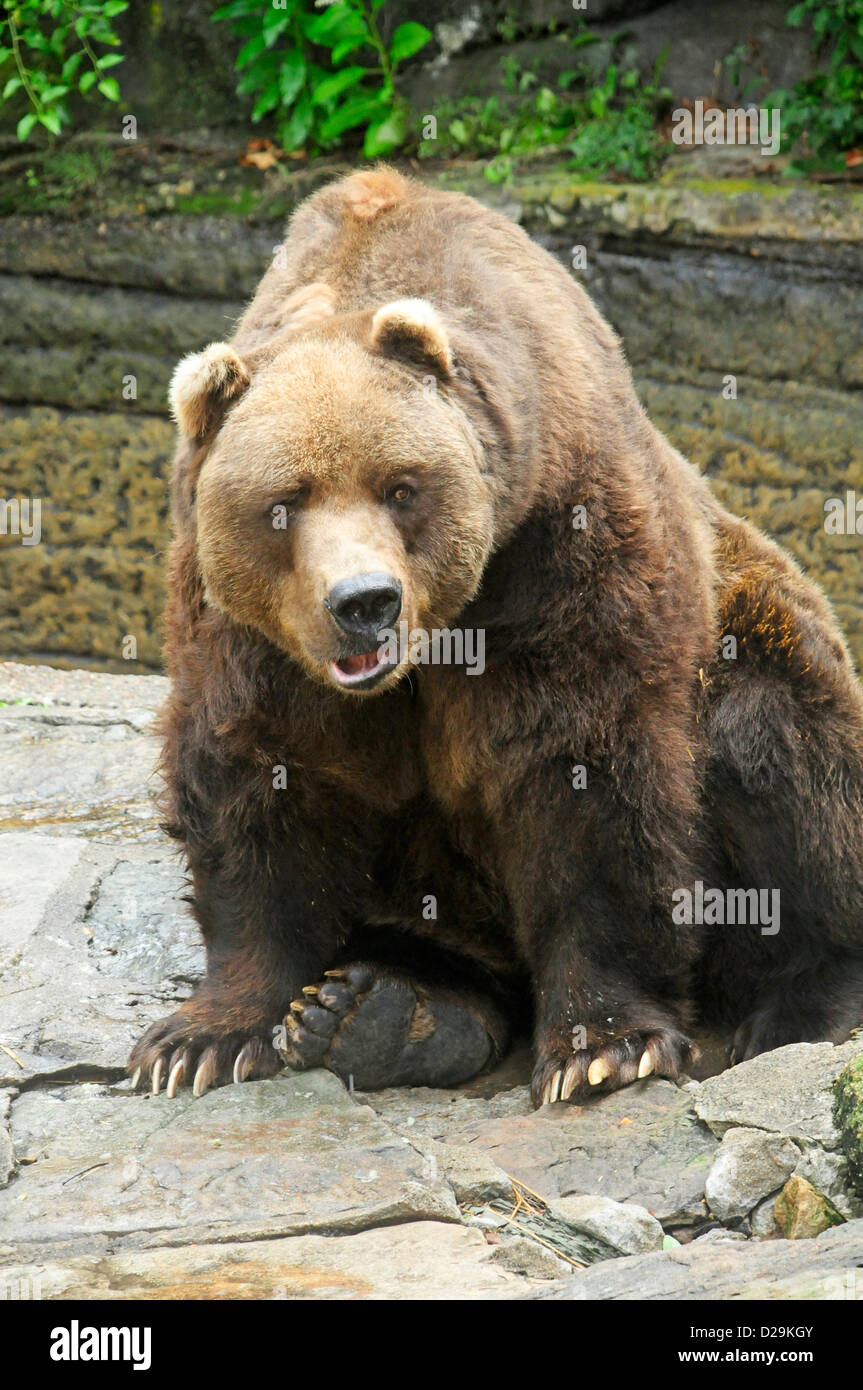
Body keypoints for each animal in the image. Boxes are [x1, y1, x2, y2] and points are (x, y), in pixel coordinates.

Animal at [129, 167, 863, 1108]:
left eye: (399, 486)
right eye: (283, 502)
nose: (363, 602)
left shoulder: (559, 545)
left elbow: (579, 768)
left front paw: (601, 1045)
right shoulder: (247, 629)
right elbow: (258, 775)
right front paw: (200, 1039)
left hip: (758, 628)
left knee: (776, 747)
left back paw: (803, 1004)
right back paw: (389, 1012)